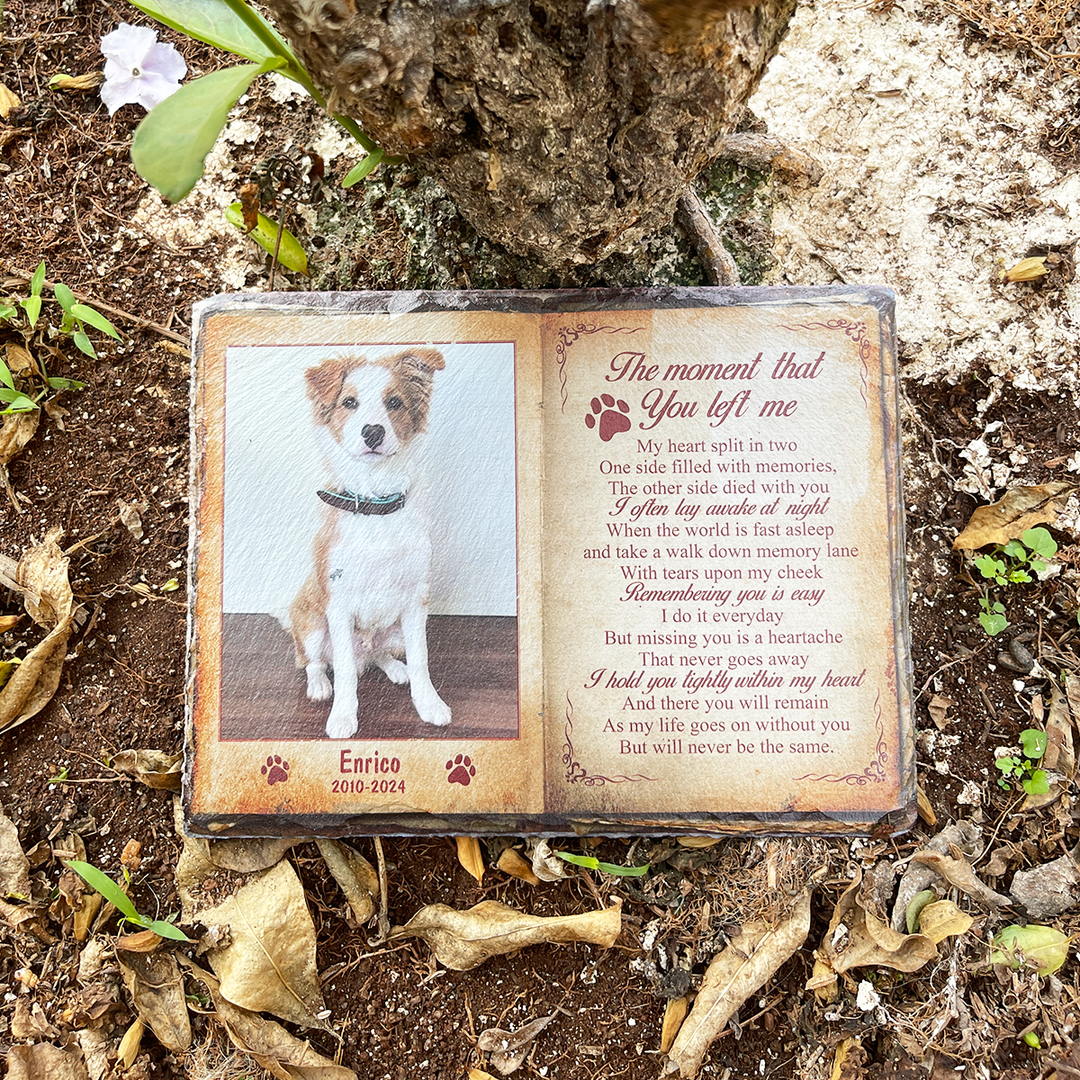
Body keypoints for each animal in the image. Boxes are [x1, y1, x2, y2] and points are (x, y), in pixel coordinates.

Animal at [287, 349, 451, 738]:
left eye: (395, 403)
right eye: (349, 402)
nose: (373, 431)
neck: (376, 509)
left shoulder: (416, 600)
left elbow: (421, 659)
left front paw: (429, 704)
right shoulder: (339, 603)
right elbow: (345, 670)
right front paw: (343, 717)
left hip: (393, 632)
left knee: (378, 654)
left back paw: (394, 668)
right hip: (311, 622)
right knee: (313, 661)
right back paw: (319, 686)